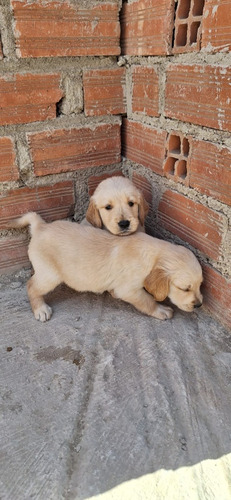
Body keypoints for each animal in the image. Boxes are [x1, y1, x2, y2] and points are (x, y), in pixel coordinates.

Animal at [10, 210, 202, 320]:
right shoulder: (129, 289)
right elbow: (147, 301)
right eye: (184, 288)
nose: (199, 305)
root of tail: (40, 226)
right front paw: (161, 310)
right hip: (49, 275)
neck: (152, 253)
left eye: (201, 285)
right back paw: (41, 310)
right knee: (31, 286)